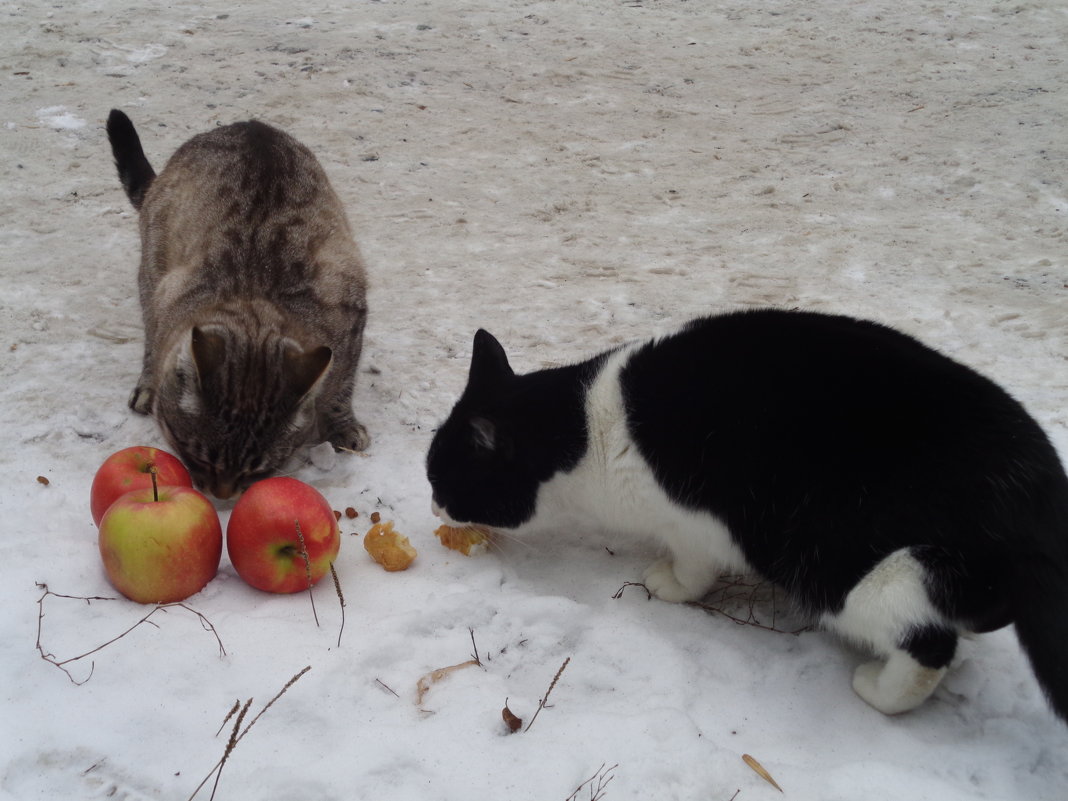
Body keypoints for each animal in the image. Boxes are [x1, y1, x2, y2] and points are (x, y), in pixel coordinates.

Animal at [106, 110, 369, 499]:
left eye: (256, 470)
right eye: (198, 456)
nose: (222, 496)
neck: (257, 292)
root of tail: (250, 123)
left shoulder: (351, 310)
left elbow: (341, 386)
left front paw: (341, 424)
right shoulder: (165, 294)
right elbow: (155, 345)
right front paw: (150, 383)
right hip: (153, 269)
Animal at [425, 309, 1068, 726]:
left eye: (442, 480)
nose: (431, 503)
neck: (584, 430)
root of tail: (1042, 502)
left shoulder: (693, 525)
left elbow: (692, 568)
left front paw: (668, 584)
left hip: (861, 571)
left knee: (927, 644)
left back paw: (879, 690)